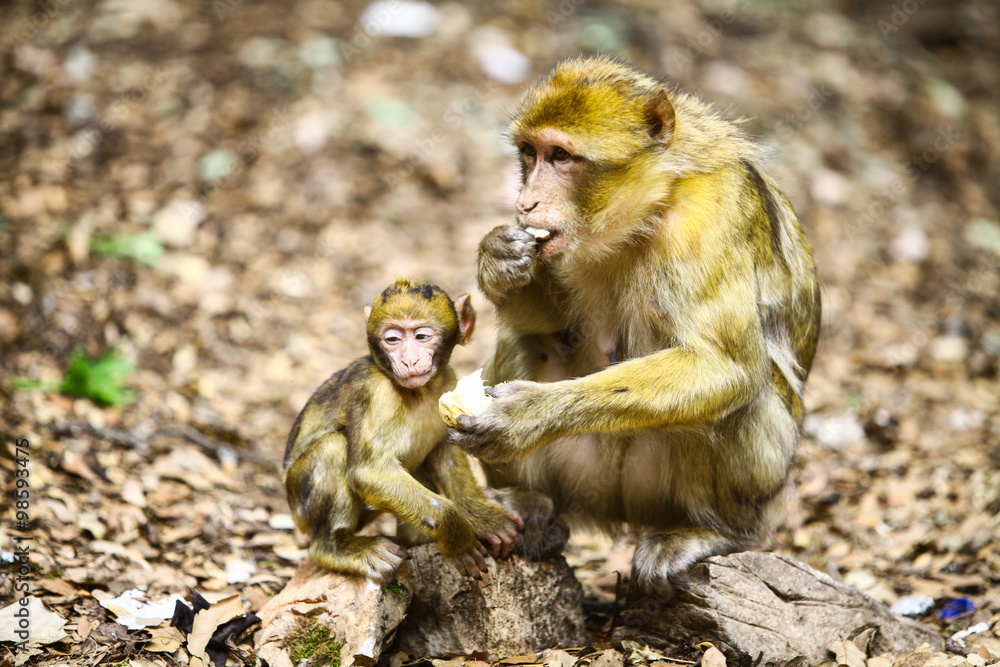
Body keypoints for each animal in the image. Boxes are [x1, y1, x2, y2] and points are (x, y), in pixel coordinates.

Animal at [283, 278, 521, 582]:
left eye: (421, 336)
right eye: (393, 339)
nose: (408, 361)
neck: (419, 392)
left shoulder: (447, 380)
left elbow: (444, 455)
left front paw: (482, 516)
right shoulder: (376, 391)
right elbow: (369, 471)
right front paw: (457, 535)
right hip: (300, 505)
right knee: (332, 448)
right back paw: (336, 547)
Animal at [448, 57, 821, 598]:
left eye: (561, 156)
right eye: (529, 153)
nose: (526, 203)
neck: (649, 207)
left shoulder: (709, 215)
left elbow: (724, 366)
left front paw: (529, 415)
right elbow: (553, 322)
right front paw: (496, 258)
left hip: (742, 483)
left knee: (731, 403)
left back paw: (714, 533)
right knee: (531, 341)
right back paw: (530, 504)